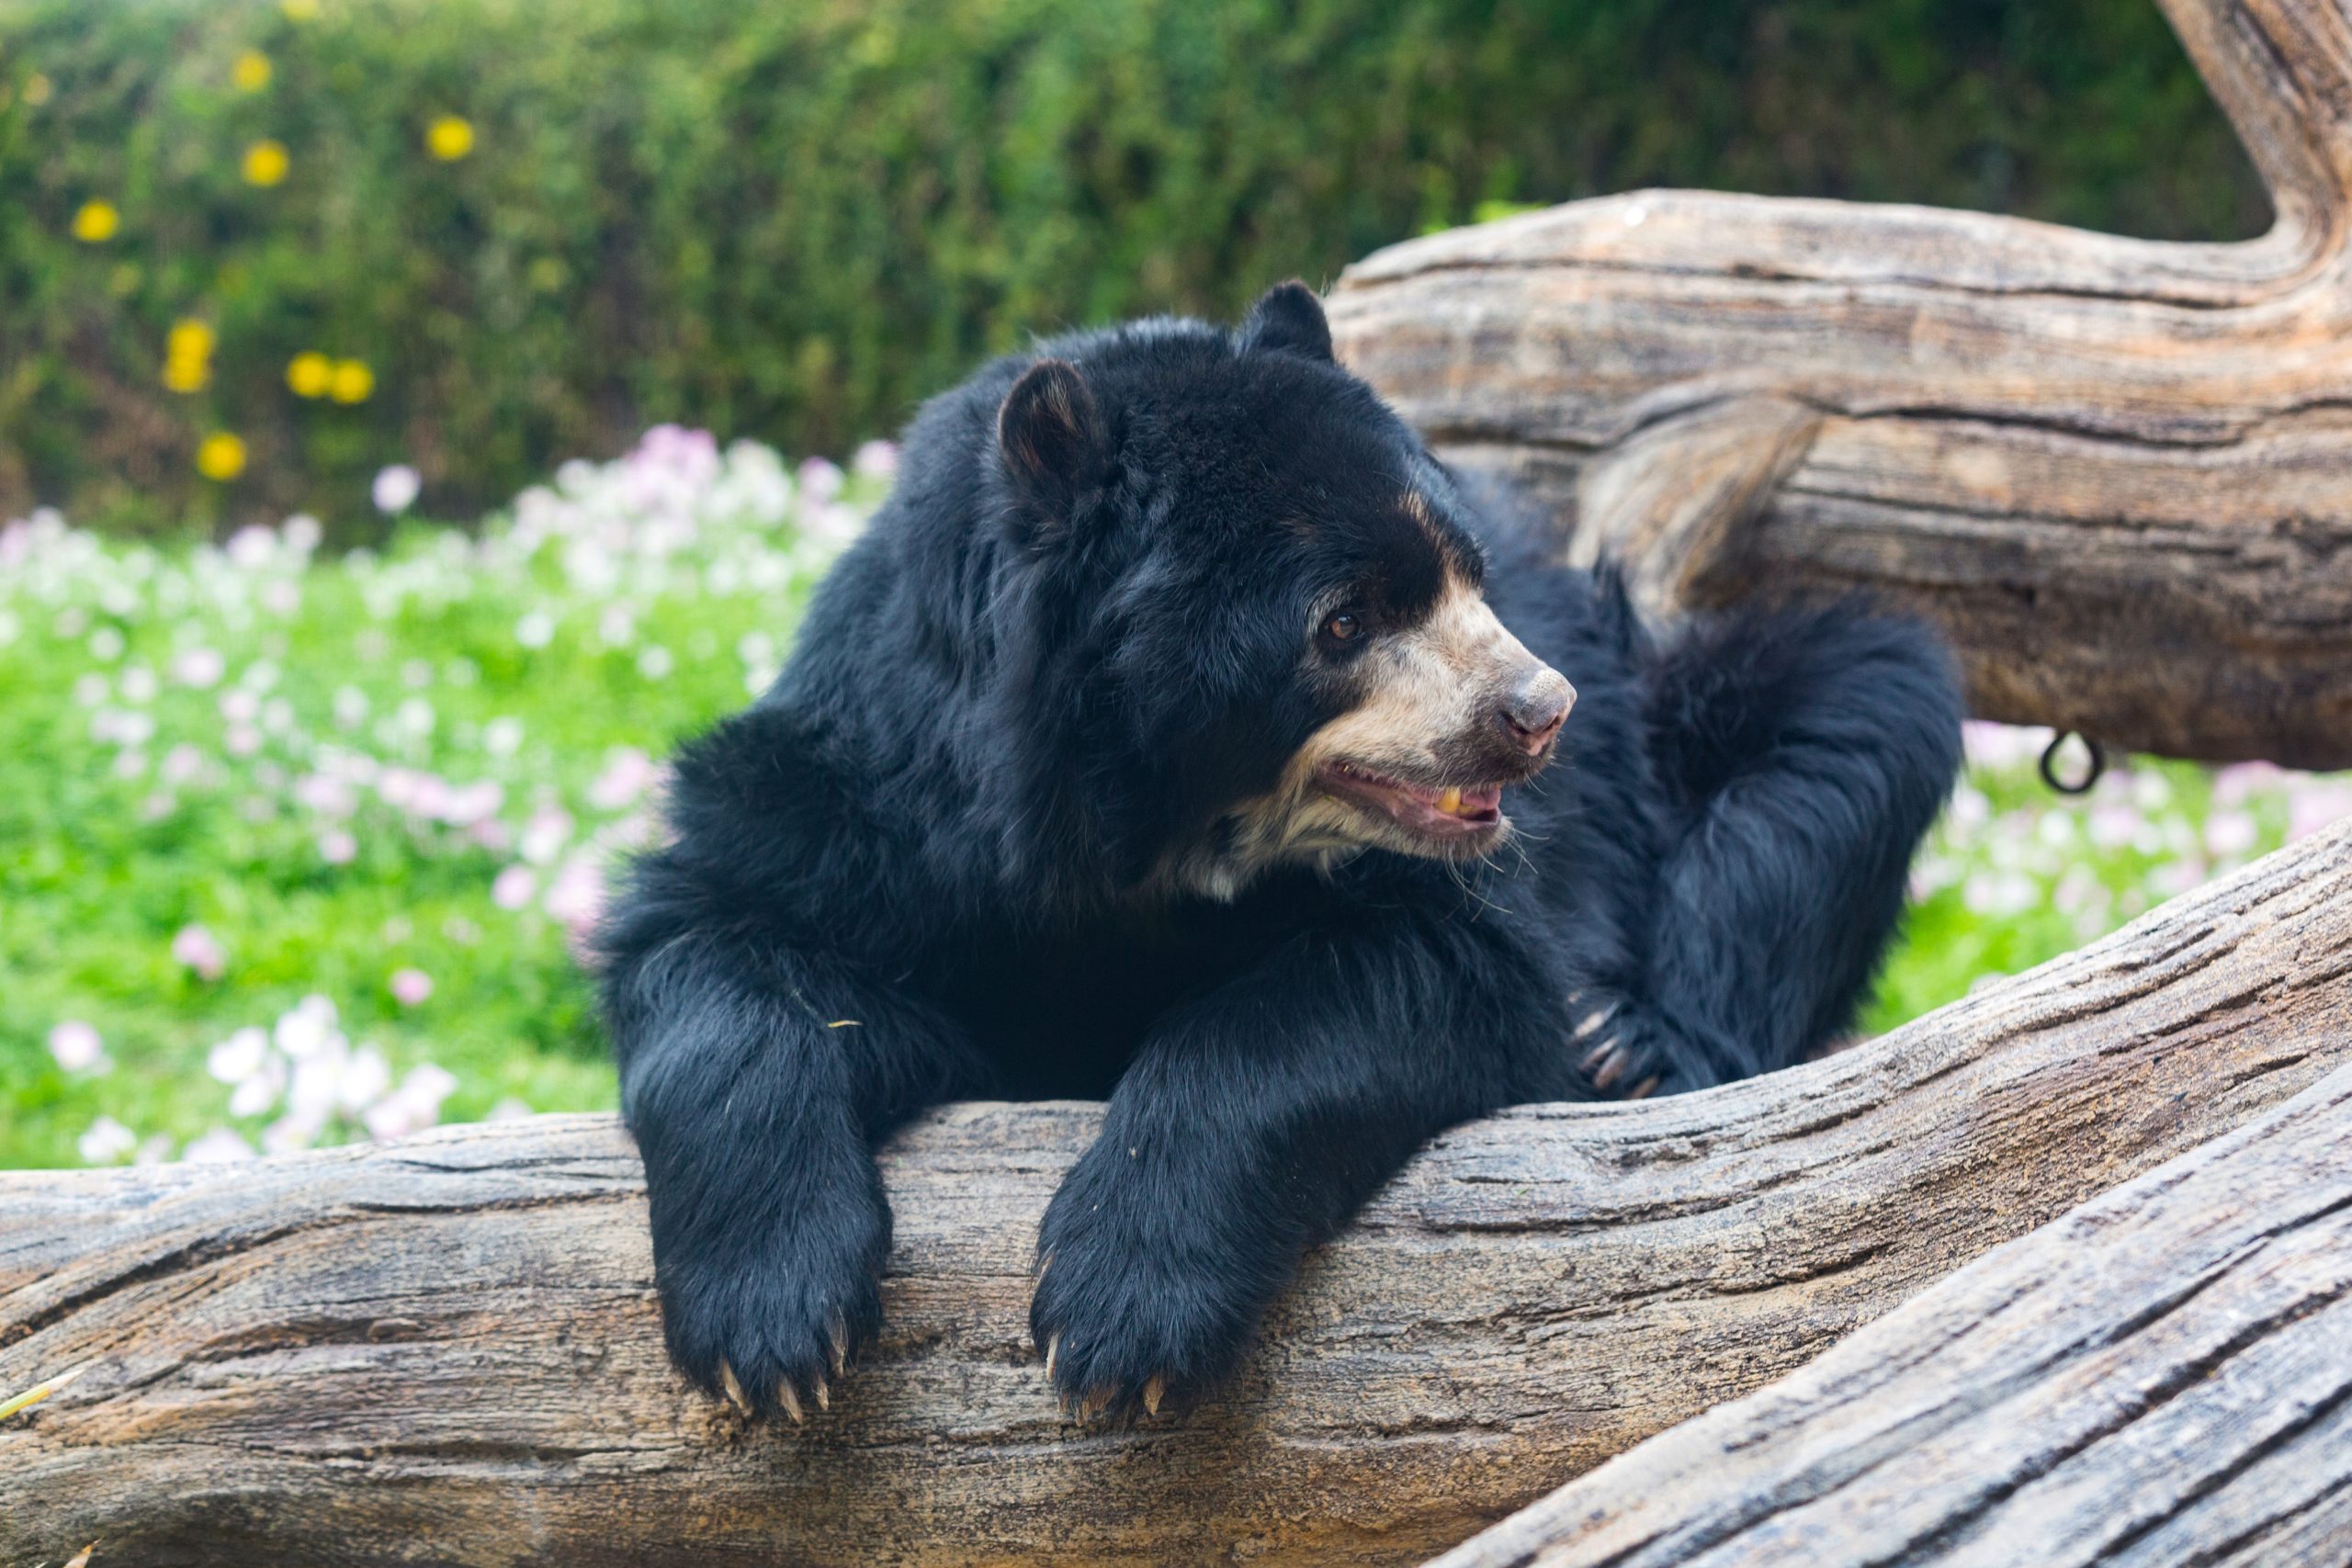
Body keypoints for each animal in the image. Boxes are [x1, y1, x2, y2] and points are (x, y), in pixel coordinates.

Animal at [596, 282, 1964, 1425]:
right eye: (1343, 620)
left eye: (1464, 571)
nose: (1539, 712)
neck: (1139, 843)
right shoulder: (867, 811)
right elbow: (711, 944)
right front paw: (770, 1331)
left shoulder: (1450, 892)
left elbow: (1410, 981)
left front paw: (1116, 1314)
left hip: (1676, 730)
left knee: (1852, 711)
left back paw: (1635, 1044)